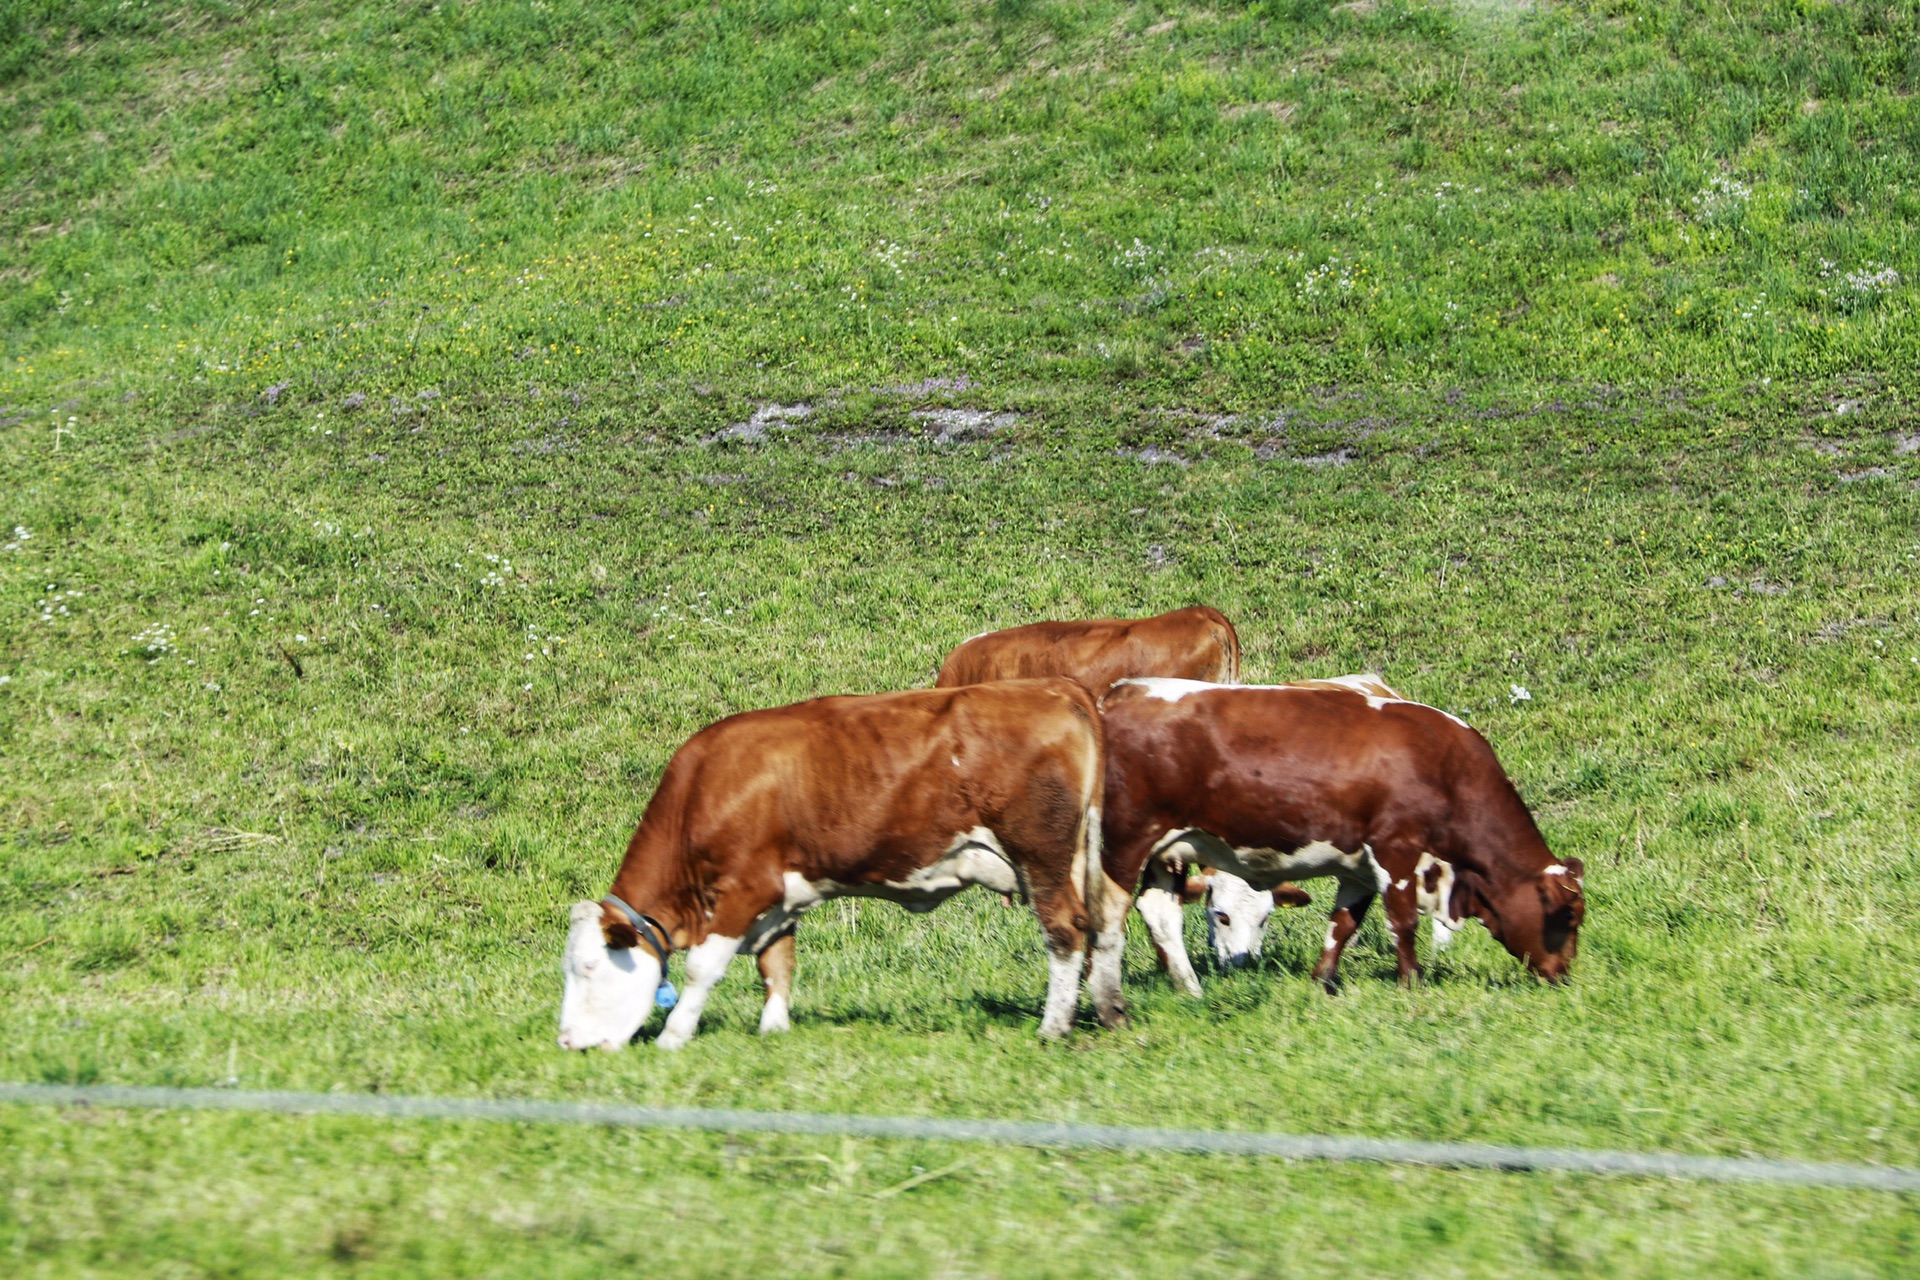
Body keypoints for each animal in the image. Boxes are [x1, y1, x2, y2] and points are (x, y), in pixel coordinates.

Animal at [560, 679, 1121, 1051]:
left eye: (588, 967)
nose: (566, 1041)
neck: (705, 787)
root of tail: (1053, 687)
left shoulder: (745, 888)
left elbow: (703, 968)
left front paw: (674, 1037)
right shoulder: (782, 895)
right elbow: (777, 963)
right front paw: (774, 1031)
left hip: (1041, 856)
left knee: (1064, 931)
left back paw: (1053, 1027)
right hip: (1084, 858)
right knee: (1104, 924)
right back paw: (1110, 1012)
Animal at [1090, 675, 1582, 1013]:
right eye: (1570, 916)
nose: (1564, 976)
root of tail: (1124, 691)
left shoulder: (1358, 867)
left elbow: (1342, 925)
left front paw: (1322, 984)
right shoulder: (1396, 850)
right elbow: (1402, 922)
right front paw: (1411, 984)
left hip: (1167, 852)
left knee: (1160, 913)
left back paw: (1190, 989)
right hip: (1125, 842)